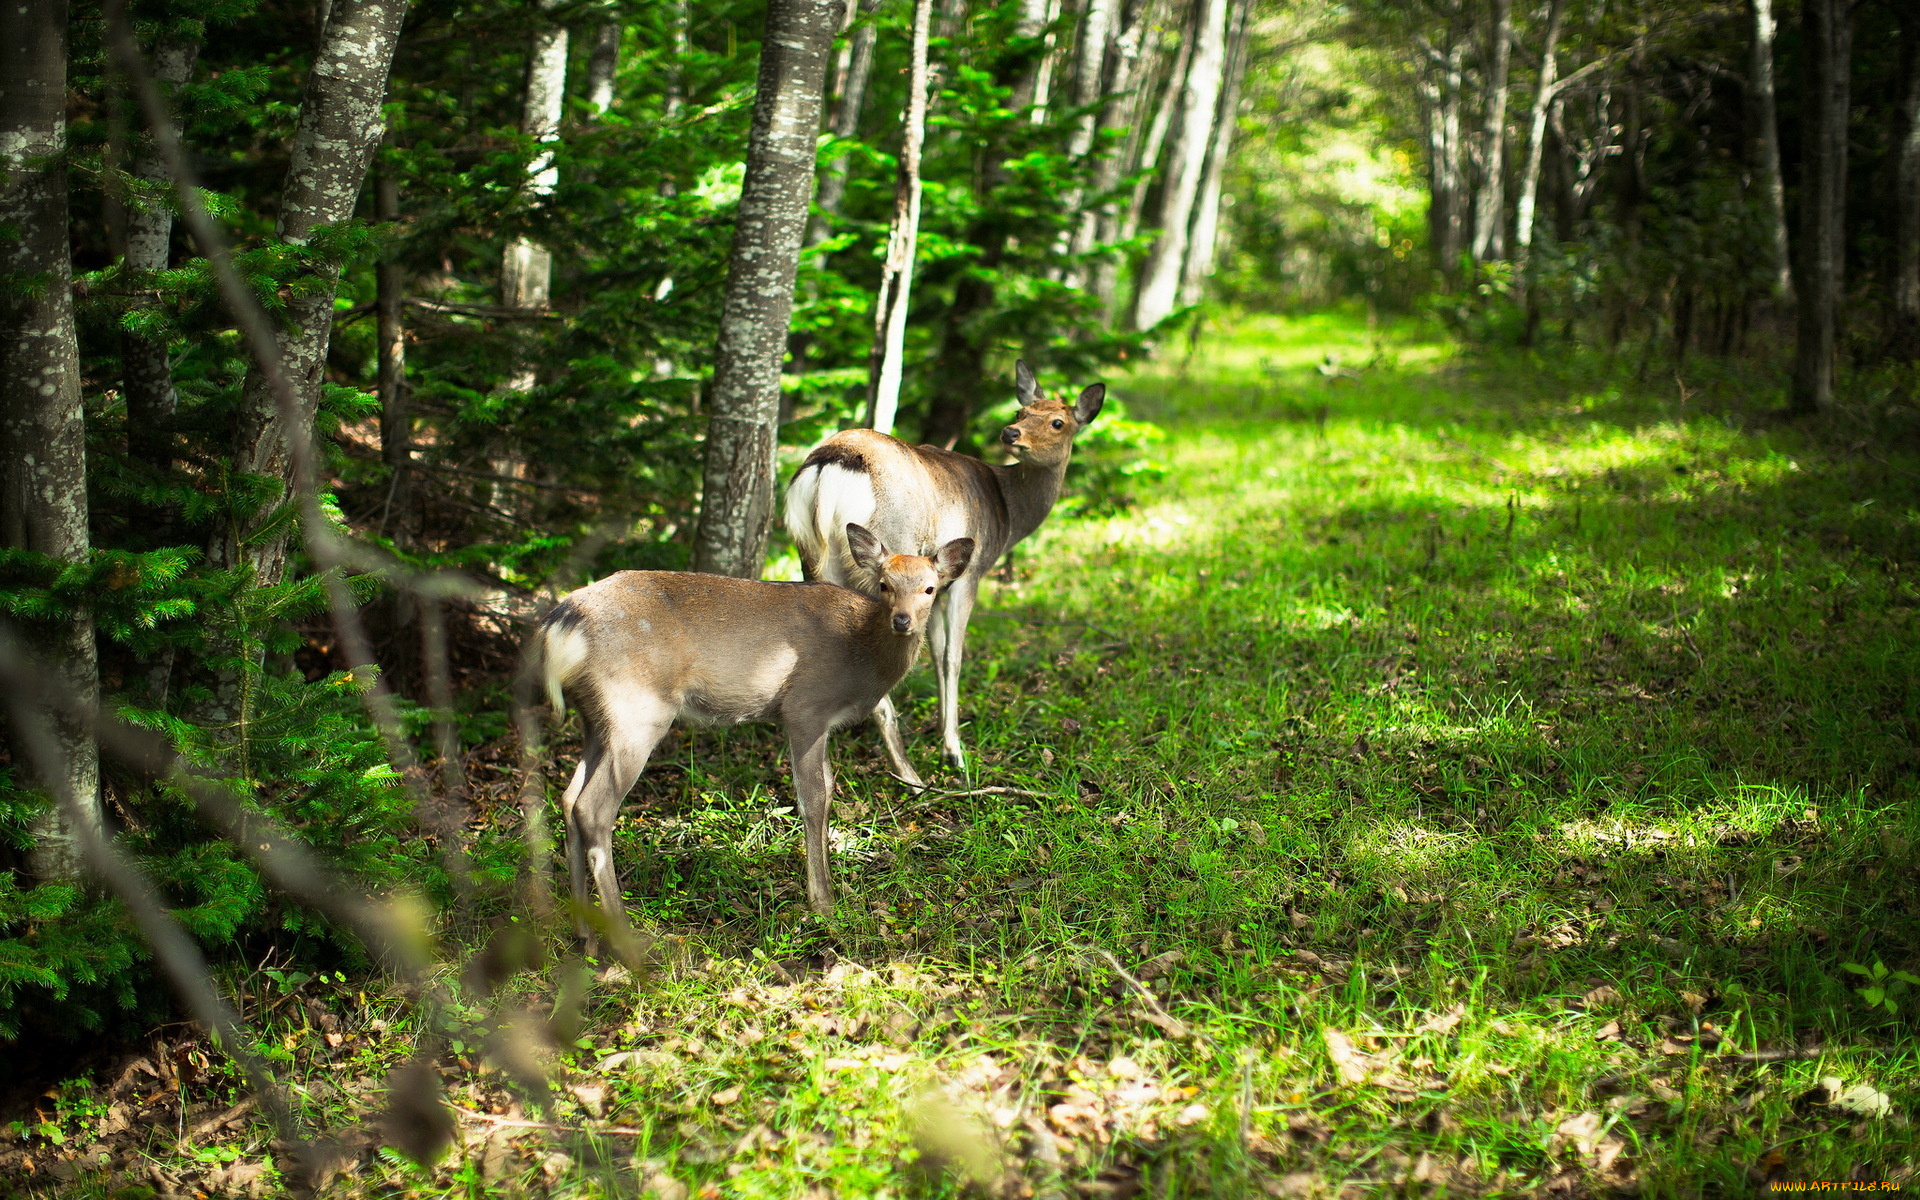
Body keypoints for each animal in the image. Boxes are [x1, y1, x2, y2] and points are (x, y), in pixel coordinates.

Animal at [533, 522, 967, 925]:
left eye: (929, 588)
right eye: (884, 585)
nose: (902, 620)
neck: (861, 655)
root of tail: (562, 622)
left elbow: (828, 790)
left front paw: (833, 891)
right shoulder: (805, 708)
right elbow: (813, 798)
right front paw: (822, 902)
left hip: (595, 717)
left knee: (569, 798)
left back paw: (584, 932)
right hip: (637, 708)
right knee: (593, 808)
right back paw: (625, 936)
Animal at [783, 360, 1113, 783]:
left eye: (1057, 422)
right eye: (1021, 411)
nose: (1010, 432)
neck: (1007, 512)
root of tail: (829, 466)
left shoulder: (934, 588)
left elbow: (938, 652)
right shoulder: (968, 575)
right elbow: (952, 657)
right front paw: (954, 750)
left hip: (810, 555)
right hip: (886, 556)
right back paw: (910, 776)